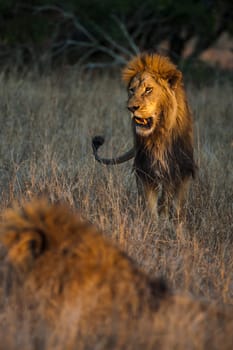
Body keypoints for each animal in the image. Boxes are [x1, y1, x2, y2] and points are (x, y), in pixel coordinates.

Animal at [92, 53, 196, 219]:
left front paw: (172, 222)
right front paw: (153, 222)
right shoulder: (145, 170)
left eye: (148, 90)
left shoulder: (181, 169)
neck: (158, 136)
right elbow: (150, 206)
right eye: (131, 90)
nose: (131, 108)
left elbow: (175, 205)